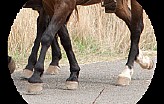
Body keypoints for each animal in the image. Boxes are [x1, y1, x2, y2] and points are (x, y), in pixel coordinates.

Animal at [22, 0, 154, 93]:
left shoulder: (64, 4)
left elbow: (47, 36)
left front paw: (35, 76)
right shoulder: (49, 6)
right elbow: (64, 38)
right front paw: (73, 74)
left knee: (136, 28)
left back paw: (126, 72)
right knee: (131, 23)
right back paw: (142, 60)